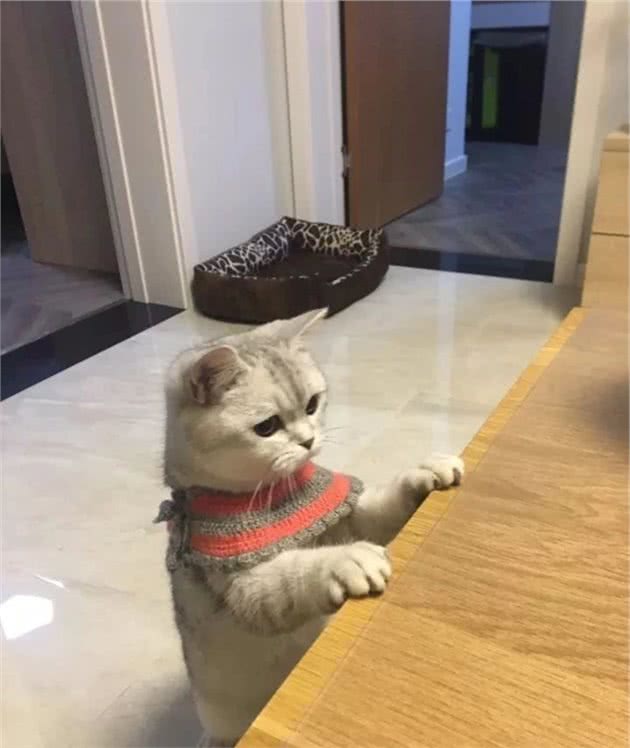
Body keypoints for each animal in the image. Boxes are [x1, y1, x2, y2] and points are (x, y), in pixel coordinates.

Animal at [162, 308, 464, 747]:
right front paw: (343, 563)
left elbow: (383, 506)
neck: (279, 497)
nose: (308, 440)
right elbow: (295, 574)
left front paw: (424, 472)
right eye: (266, 427)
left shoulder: (345, 516)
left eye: (312, 404)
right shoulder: (243, 585)